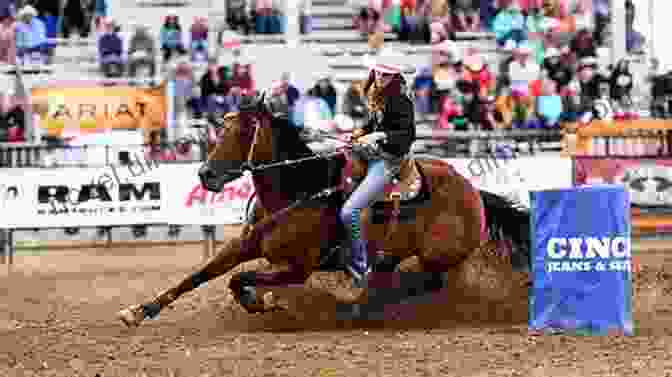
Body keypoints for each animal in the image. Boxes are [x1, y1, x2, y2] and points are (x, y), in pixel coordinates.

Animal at [118, 97, 532, 326]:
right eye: (222, 128)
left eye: (243, 132)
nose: (206, 174)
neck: (296, 190)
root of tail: (473, 192)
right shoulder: (244, 245)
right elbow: (198, 276)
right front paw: (139, 310)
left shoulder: (298, 268)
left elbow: (241, 279)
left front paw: (261, 301)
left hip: (437, 255)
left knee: (425, 283)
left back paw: (360, 305)